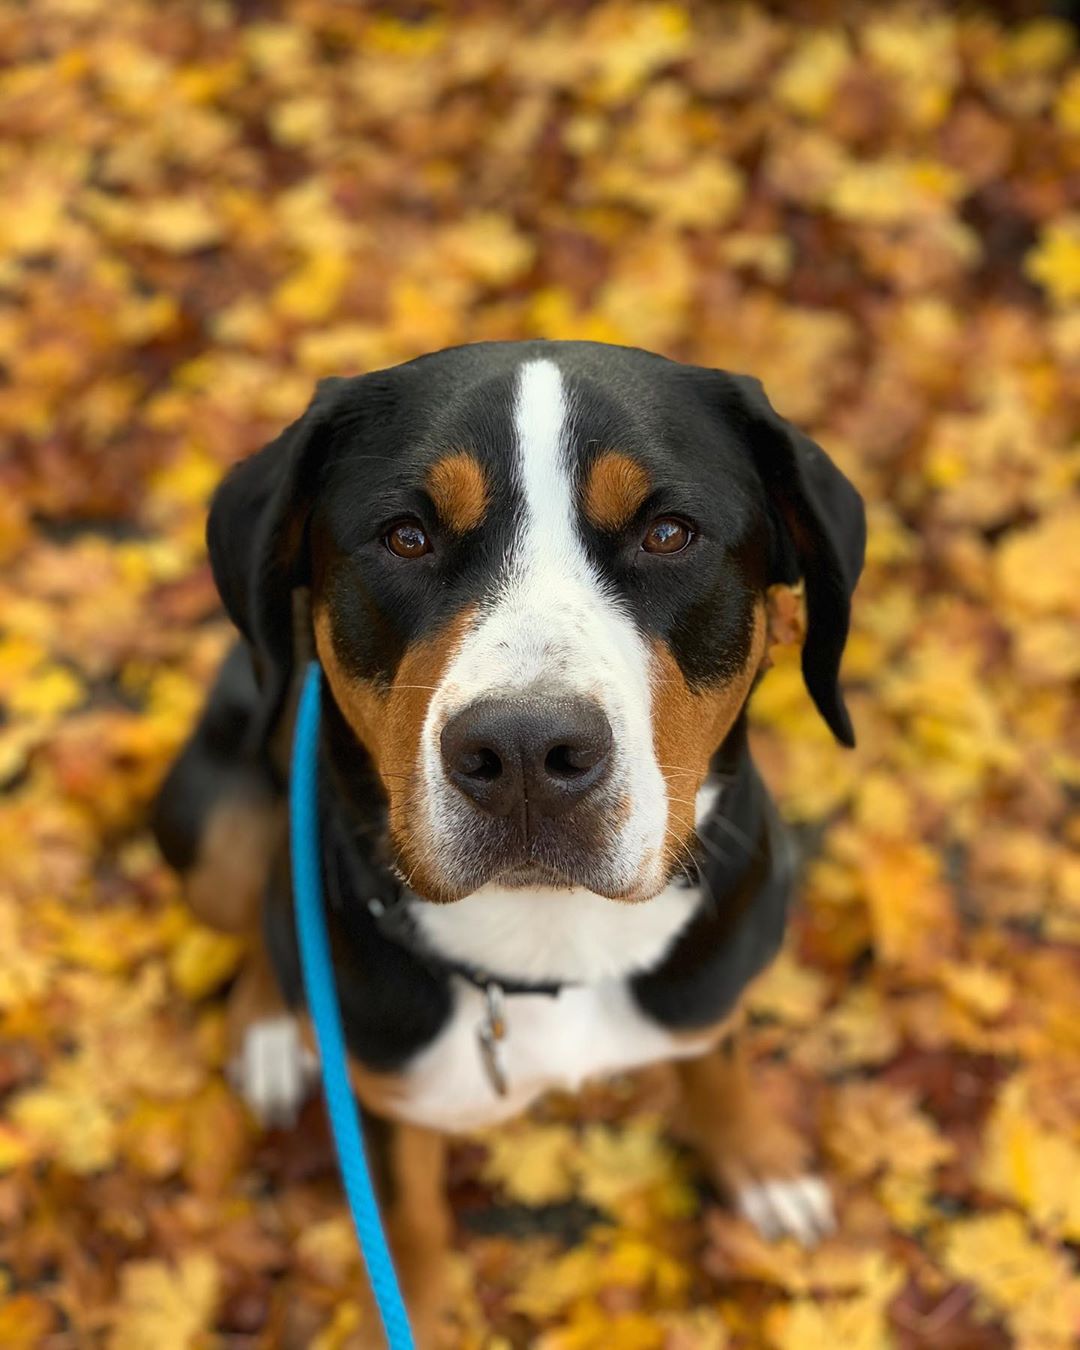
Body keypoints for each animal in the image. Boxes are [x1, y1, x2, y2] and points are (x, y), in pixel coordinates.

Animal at [151, 340, 864, 1339]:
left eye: (668, 534)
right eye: (407, 537)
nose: (525, 749)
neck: (548, 943)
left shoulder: (707, 990)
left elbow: (717, 1069)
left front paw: (760, 1163)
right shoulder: (389, 1092)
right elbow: (407, 1215)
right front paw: (413, 1311)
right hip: (216, 832)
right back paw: (269, 1028)